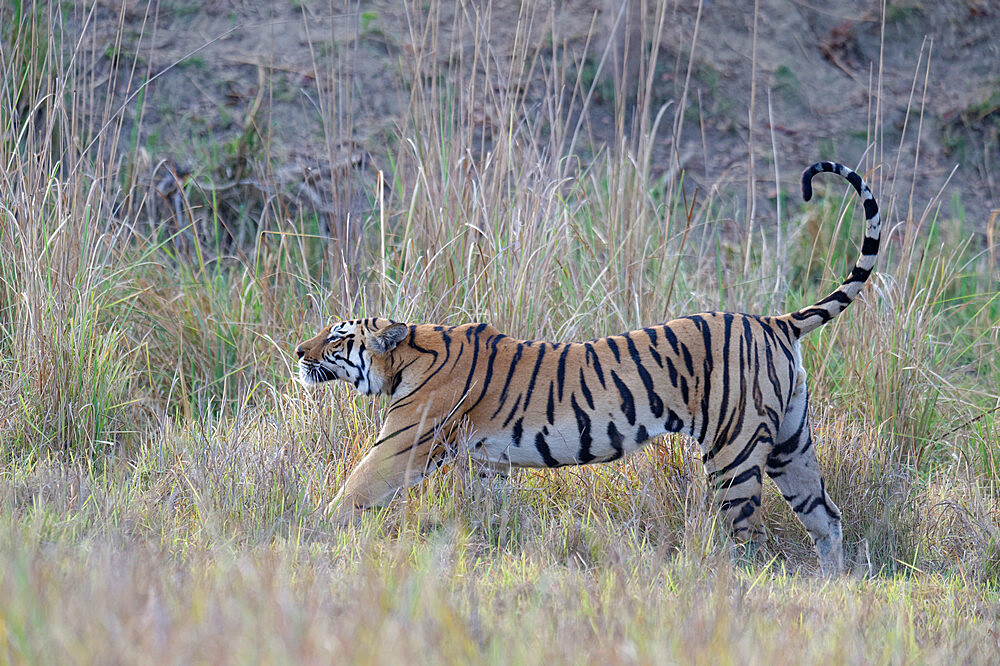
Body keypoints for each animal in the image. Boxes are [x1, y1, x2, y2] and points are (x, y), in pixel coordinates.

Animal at [296, 161, 884, 572]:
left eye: (336, 337)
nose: (298, 354)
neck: (408, 354)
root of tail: (773, 320)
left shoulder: (401, 446)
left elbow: (351, 494)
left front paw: (303, 535)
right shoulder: (488, 463)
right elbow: (491, 515)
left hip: (734, 450)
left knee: (749, 534)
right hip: (790, 442)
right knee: (826, 519)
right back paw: (833, 585)